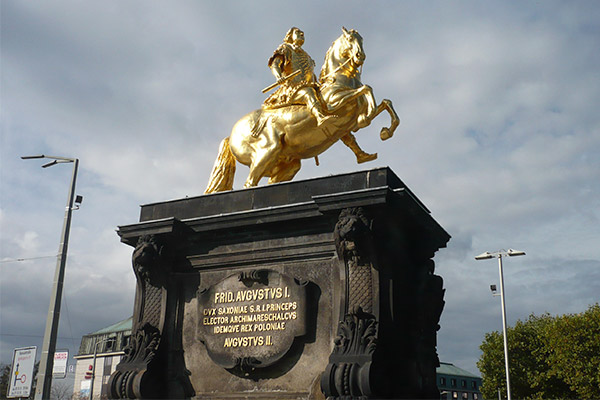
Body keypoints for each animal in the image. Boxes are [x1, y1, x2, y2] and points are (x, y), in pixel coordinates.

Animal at [205, 27, 398, 193]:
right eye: (350, 39)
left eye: (362, 39)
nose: (360, 56)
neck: (341, 80)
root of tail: (231, 135)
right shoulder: (334, 104)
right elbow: (367, 89)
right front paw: (366, 117)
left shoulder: (349, 121)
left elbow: (385, 103)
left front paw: (385, 132)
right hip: (266, 151)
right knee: (249, 183)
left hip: (286, 164)